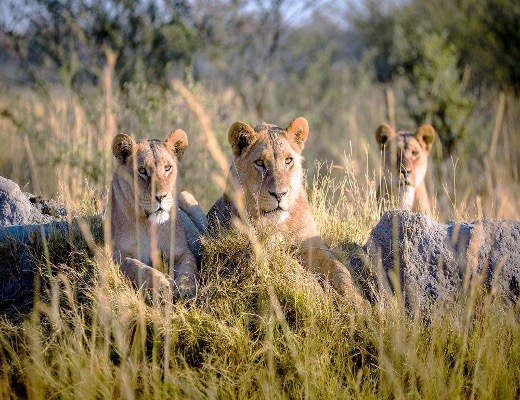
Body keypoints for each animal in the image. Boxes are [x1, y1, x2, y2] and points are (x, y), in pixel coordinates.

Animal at [110, 130, 203, 298]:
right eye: (142, 171)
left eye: (167, 168)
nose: (161, 197)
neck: (150, 225)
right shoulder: (118, 254)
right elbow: (140, 269)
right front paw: (163, 286)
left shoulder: (182, 252)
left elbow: (189, 268)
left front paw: (185, 289)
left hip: (185, 196)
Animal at [209, 117, 364, 298]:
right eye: (260, 163)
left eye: (288, 160)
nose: (279, 194)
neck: (282, 224)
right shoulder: (262, 247)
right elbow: (297, 270)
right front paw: (318, 295)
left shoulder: (310, 244)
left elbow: (338, 268)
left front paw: (356, 300)